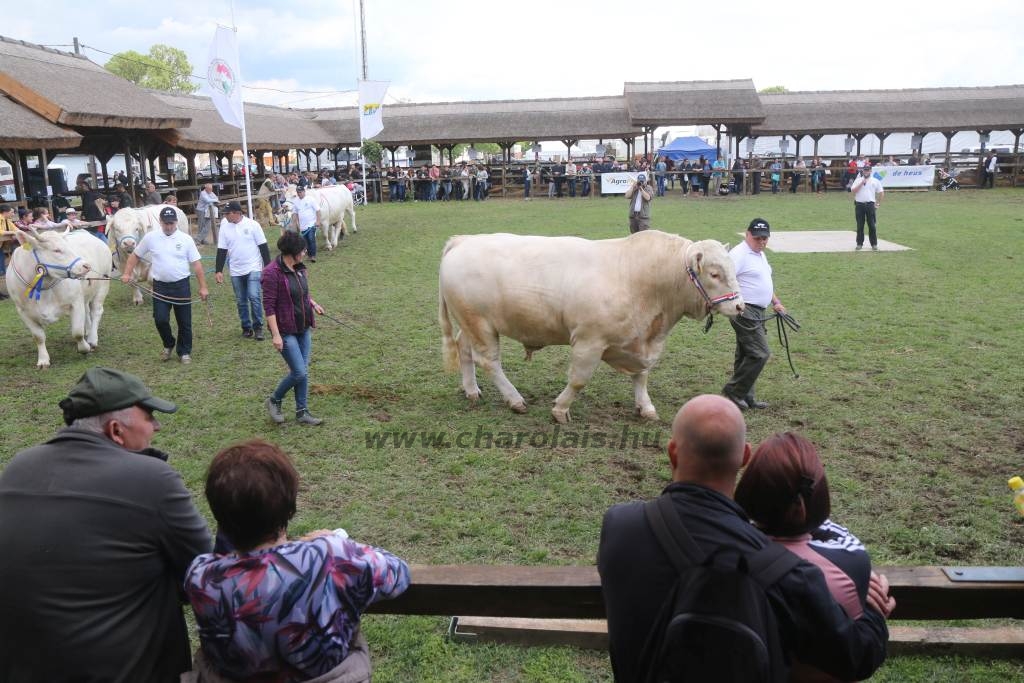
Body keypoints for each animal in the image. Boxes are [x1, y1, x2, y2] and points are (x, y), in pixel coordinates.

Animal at [6, 228, 113, 368]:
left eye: (69, 246)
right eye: (56, 250)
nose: (86, 266)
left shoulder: (75, 302)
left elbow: (77, 332)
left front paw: (85, 348)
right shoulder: (23, 312)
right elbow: (38, 337)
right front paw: (43, 360)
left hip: (103, 285)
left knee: (96, 311)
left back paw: (92, 339)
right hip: (85, 293)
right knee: (87, 311)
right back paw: (89, 332)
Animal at [438, 229, 745, 421]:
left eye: (733, 269)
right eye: (714, 274)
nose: (740, 306)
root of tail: (463, 241)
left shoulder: (640, 342)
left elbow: (642, 375)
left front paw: (645, 407)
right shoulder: (589, 341)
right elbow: (579, 379)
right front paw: (560, 409)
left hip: (470, 323)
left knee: (464, 349)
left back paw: (471, 390)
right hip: (480, 324)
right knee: (489, 361)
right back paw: (515, 400)